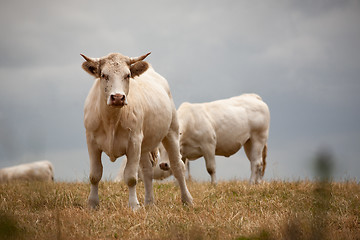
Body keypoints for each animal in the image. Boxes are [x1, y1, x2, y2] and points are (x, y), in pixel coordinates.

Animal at [81, 51, 193, 209]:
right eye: (103, 75)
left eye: (127, 75)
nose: (117, 97)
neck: (111, 120)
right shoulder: (91, 142)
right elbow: (95, 175)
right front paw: (92, 204)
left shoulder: (133, 142)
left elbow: (131, 177)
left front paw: (134, 206)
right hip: (144, 145)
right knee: (147, 172)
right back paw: (149, 203)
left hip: (171, 132)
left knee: (178, 166)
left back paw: (187, 200)